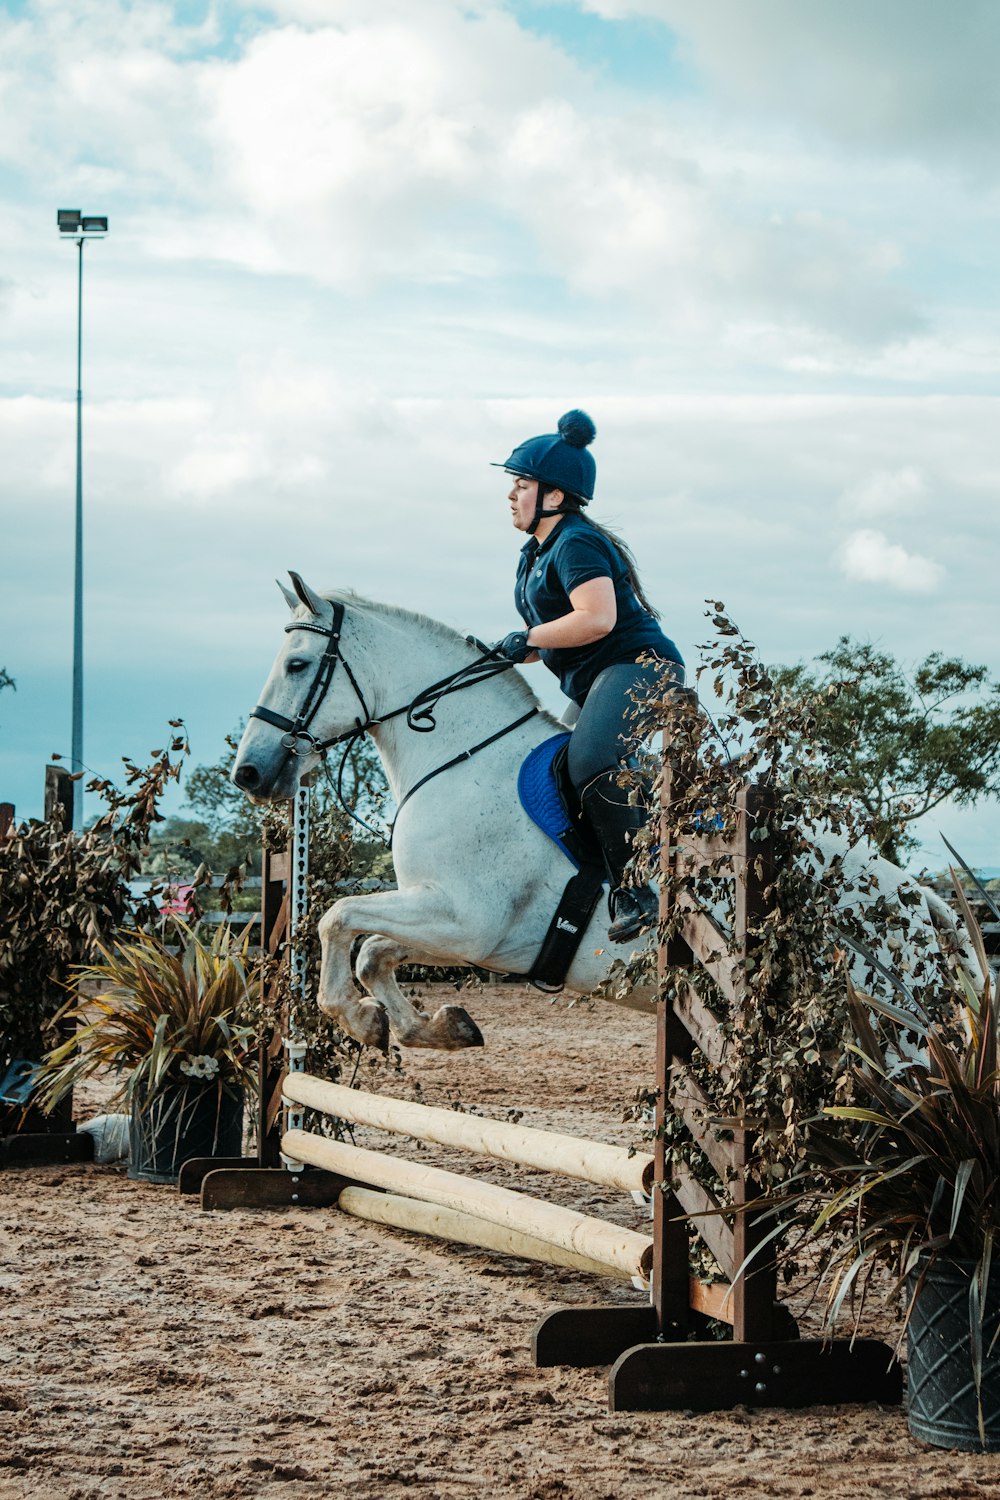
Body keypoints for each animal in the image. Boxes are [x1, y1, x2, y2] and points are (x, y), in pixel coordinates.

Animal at [232, 576, 977, 1056]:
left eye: (297, 664)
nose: (250, 773)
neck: (459, 754)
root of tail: (923, 903)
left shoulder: (468, 919)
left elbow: (337, 919)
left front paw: (360, 1022)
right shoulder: (452, 925)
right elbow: (371, 951)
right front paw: (432, 1027)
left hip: (887, 1036)